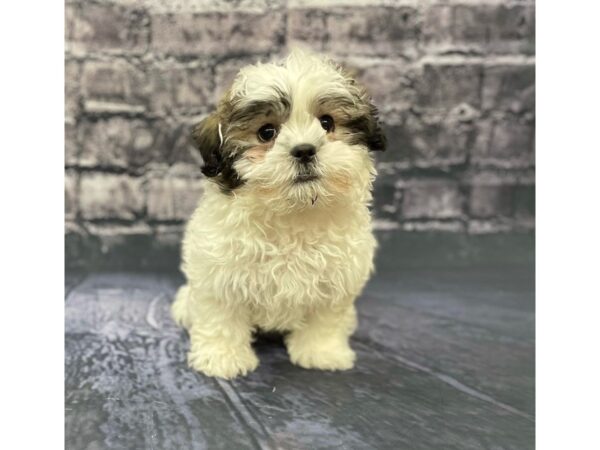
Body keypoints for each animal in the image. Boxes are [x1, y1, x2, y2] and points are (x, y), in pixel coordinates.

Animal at [170, 50, 384, 380]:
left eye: (327, 123)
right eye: (266, 132)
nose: (305, 150)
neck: (293, 213)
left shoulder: (336, 279)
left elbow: (325, 317)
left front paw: (322, 353)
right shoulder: (218, 273)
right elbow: (222, 315)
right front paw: (222, 358)